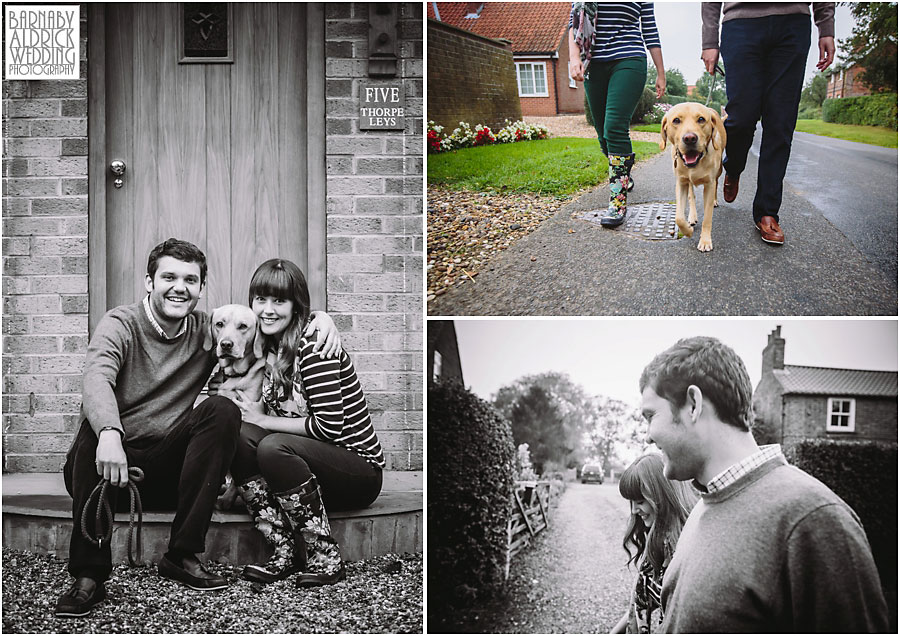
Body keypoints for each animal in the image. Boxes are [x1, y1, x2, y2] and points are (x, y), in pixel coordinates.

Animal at [656, 103, 728, 252]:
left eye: (701, 119)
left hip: (719, 170)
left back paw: (715, 200)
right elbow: (678, 217)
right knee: (691, 195)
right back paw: (692, 217)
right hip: (687, 180)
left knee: (717, 183)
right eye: (676, 120)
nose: (690, 138)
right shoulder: (681, 183)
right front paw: (688, 230)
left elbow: (707, 218)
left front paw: (705, 241)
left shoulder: (709, 184)